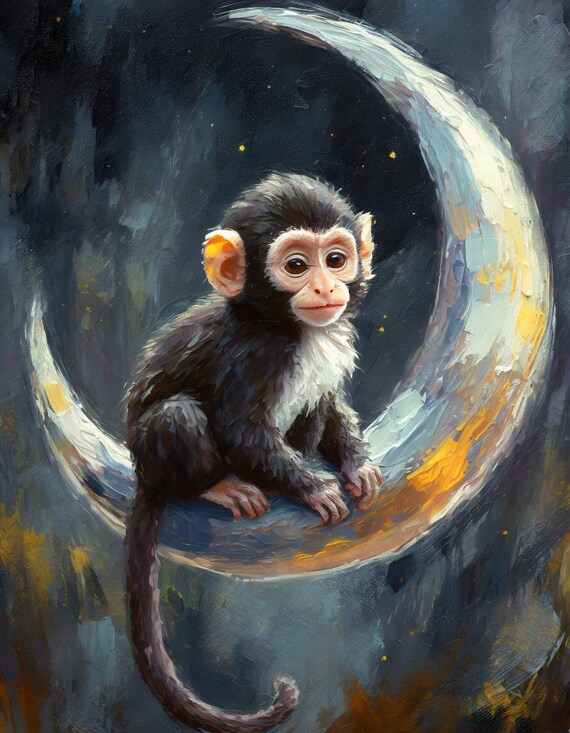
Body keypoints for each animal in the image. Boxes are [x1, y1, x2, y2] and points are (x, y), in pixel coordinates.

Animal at [125, 172, 383, 733]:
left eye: (336, 259)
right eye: (296, 266)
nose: (325, 287)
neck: (287, 328)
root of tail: (142, 476)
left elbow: (330, 403)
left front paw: (356, 463)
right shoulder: (249, 354)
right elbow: (241, 428)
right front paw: (312, 487)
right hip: (158, 457)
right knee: (177, 416)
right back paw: (218, 486)